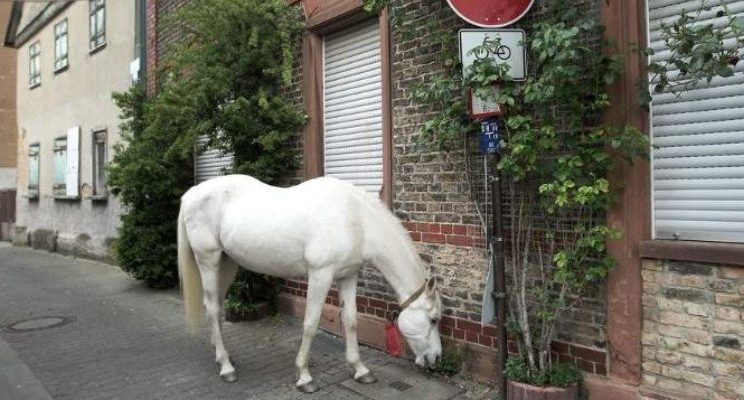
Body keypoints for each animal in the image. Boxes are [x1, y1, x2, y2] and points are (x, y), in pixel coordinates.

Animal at [177, 176, 442, 394]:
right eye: (433, 319)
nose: (436, 359)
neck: (355, 218)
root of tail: (191, 194)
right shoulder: (320, 275)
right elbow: (311, 324)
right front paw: (304, 376)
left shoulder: (348, 276)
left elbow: (351, 321)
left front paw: (360, 369)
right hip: (209, 260)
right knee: (212, 308)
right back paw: (226, 367)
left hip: (227, 263)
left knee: (216, 306)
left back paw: (222, 355)